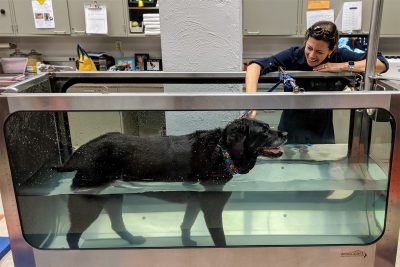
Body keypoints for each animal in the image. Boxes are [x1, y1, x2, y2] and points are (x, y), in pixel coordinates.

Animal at [57, 119, 286, 249]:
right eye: (264, 131)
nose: (285, 133)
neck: (222, 150)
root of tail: (82, 151)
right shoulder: (211, 203)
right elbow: (219, 236)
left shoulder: (195, 200)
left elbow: (186, 224)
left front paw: (186, 243)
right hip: (88, 200)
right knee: (71, 236)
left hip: (113, 197)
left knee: (116, 224)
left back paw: (132, 240)